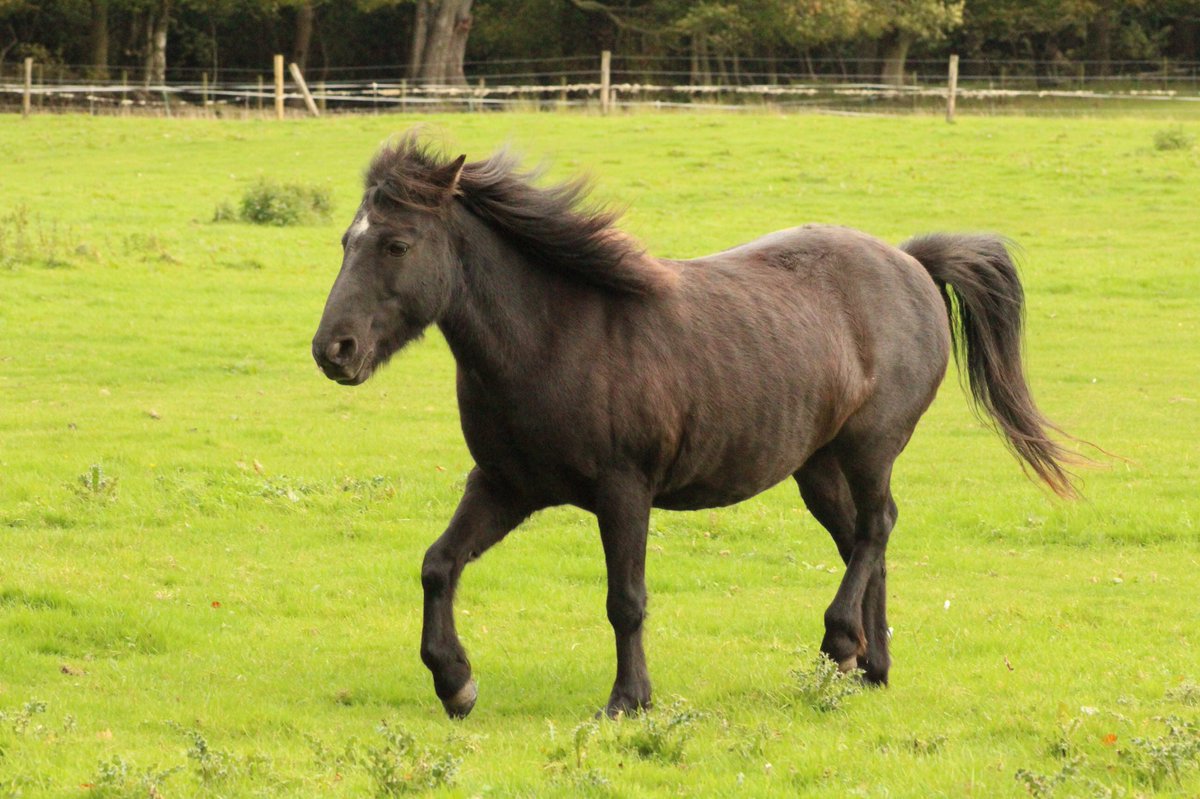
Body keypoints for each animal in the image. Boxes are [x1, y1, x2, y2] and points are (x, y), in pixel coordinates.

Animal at [311, 134, 1077, 719]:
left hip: (869, 445)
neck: (554, 336)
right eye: (348, 240)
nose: (333, 350)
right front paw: (456, 683)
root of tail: (912, 262)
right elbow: (438, 565)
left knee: (876, 527)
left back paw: (839, 643)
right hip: (817, 465)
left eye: (397, 245)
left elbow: (625, 599)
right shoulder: (506, 485)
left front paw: (629, 699)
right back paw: (870, 665)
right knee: (863, 537)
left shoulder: (623, 488)